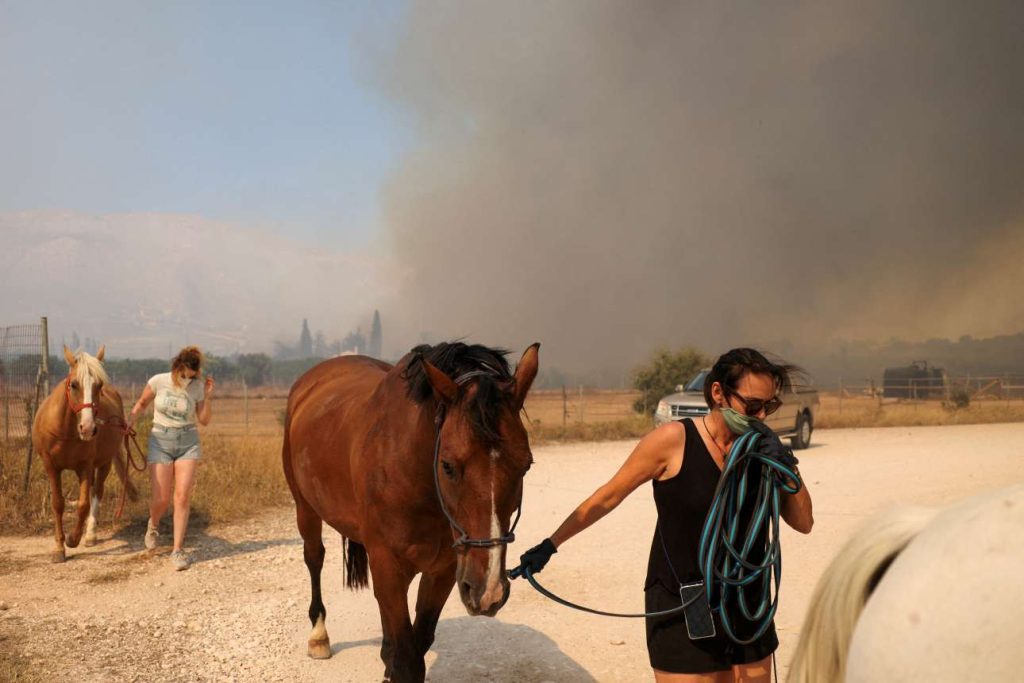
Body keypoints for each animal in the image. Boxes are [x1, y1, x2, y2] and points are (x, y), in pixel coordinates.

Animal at [32, 350, 137, 565]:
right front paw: (59, 548)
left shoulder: (85, 467)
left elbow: (83, 505)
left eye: (99, 385)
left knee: (97, 492)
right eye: (73, 384)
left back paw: (90, 535)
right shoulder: (51, 467)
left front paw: (73, 539)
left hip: (104, 464)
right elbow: (58, 504)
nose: (88, 428)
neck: (65, 431)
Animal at [280, 342, 536, 683]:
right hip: (305, 508)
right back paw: (318, 636)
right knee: (314, 557)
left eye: (526, 465)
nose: (487, 591)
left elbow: (419, 640)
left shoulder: (443, 570)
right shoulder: (388, 565)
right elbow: (407, 661)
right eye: (447, 466)